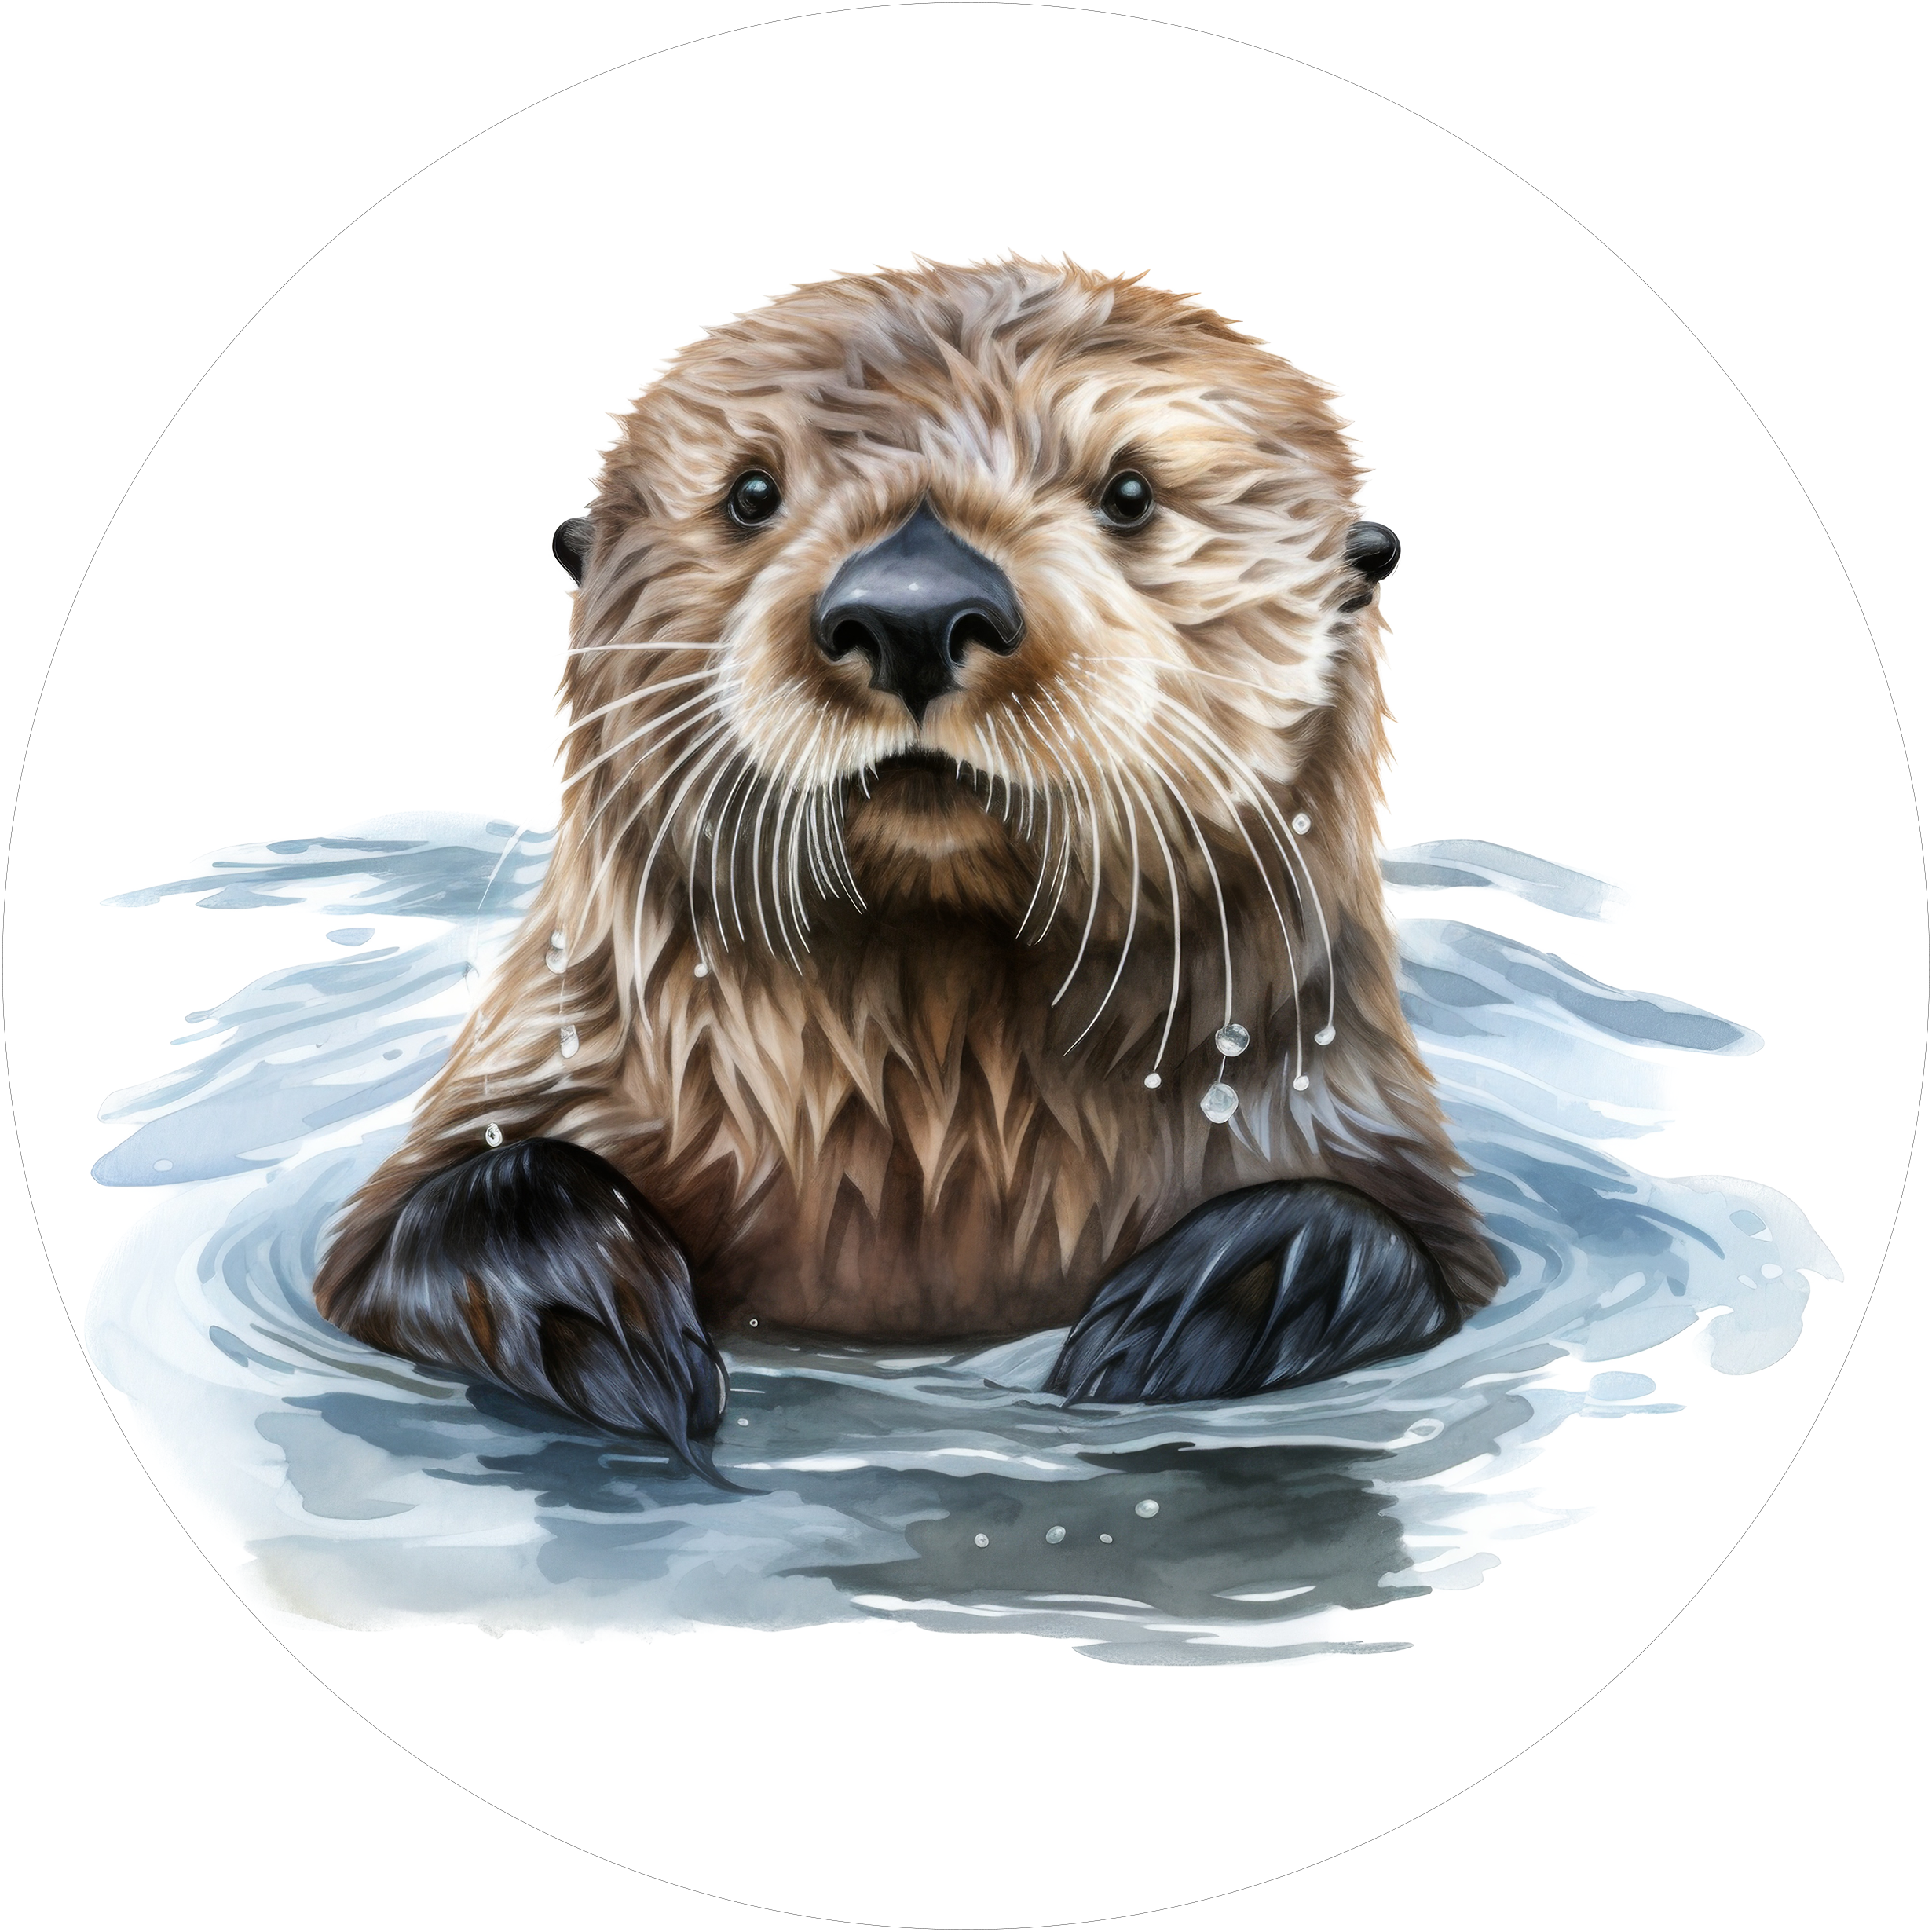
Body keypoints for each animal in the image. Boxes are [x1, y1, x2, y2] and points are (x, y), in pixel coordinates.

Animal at [312, 258, 1504, 1477]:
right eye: (751, 493)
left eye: (1130, 493)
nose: (914, 609)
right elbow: (421, 1228)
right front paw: (598, 1312)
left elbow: (1401, 1244)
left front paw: (1222, 1299)